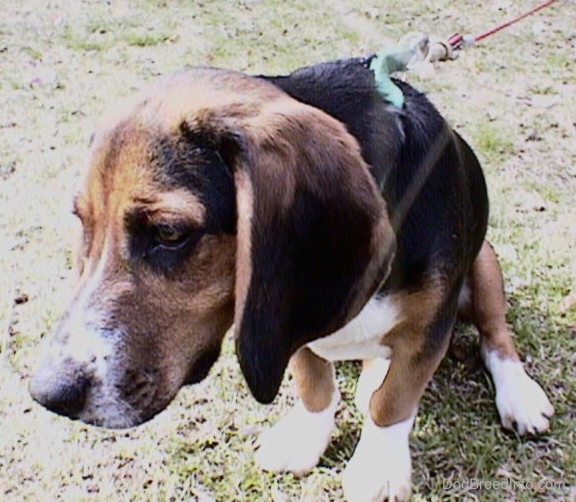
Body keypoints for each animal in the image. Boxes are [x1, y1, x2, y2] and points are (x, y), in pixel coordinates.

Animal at [28, 56, 552, 500]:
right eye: (82, 222)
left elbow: (393, 401)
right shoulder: (284, 319)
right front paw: (305, 438)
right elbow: (313, 381)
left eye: (169, 233)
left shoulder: (429, 327)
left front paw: (378, 468)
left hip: (484, 263)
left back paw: (519, 395)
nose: (48, 394)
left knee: (496, 335)